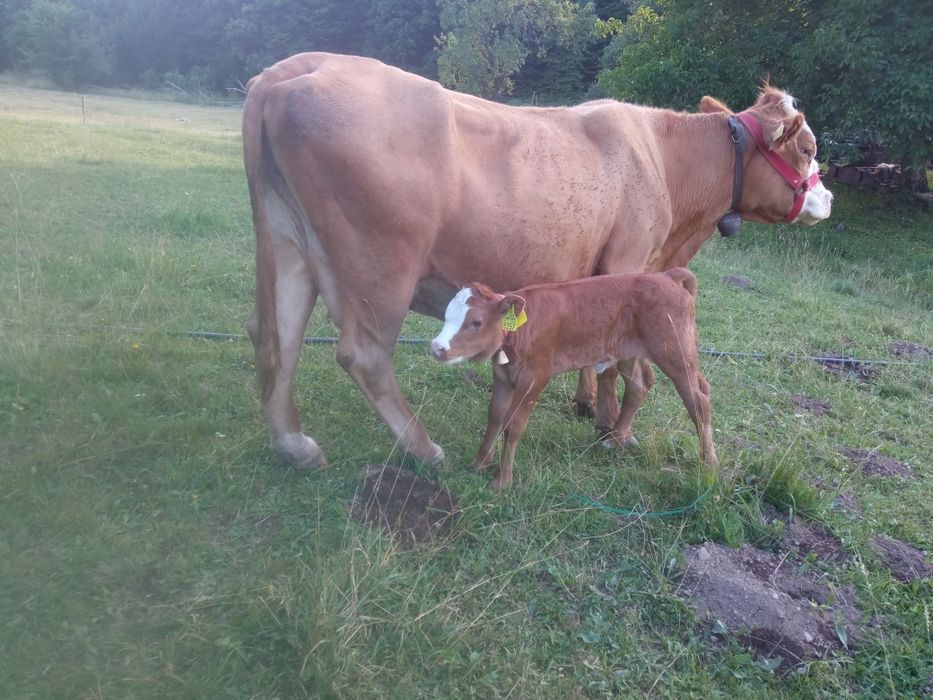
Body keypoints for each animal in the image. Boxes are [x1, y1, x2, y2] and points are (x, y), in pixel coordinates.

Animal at [429, 269, 716, 488]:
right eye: (446, 315)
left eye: (476, 322)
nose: (437, 347)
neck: (522, 328)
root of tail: (667, 275)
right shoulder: (502, 375)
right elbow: (495, 416)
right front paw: (479, 463)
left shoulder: (535, 377)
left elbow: (513, 425)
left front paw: (502, 480)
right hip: (629, 351)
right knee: (639, 385)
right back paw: (614, 439)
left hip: (676, 352)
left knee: (699, 399)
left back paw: (709, 463)